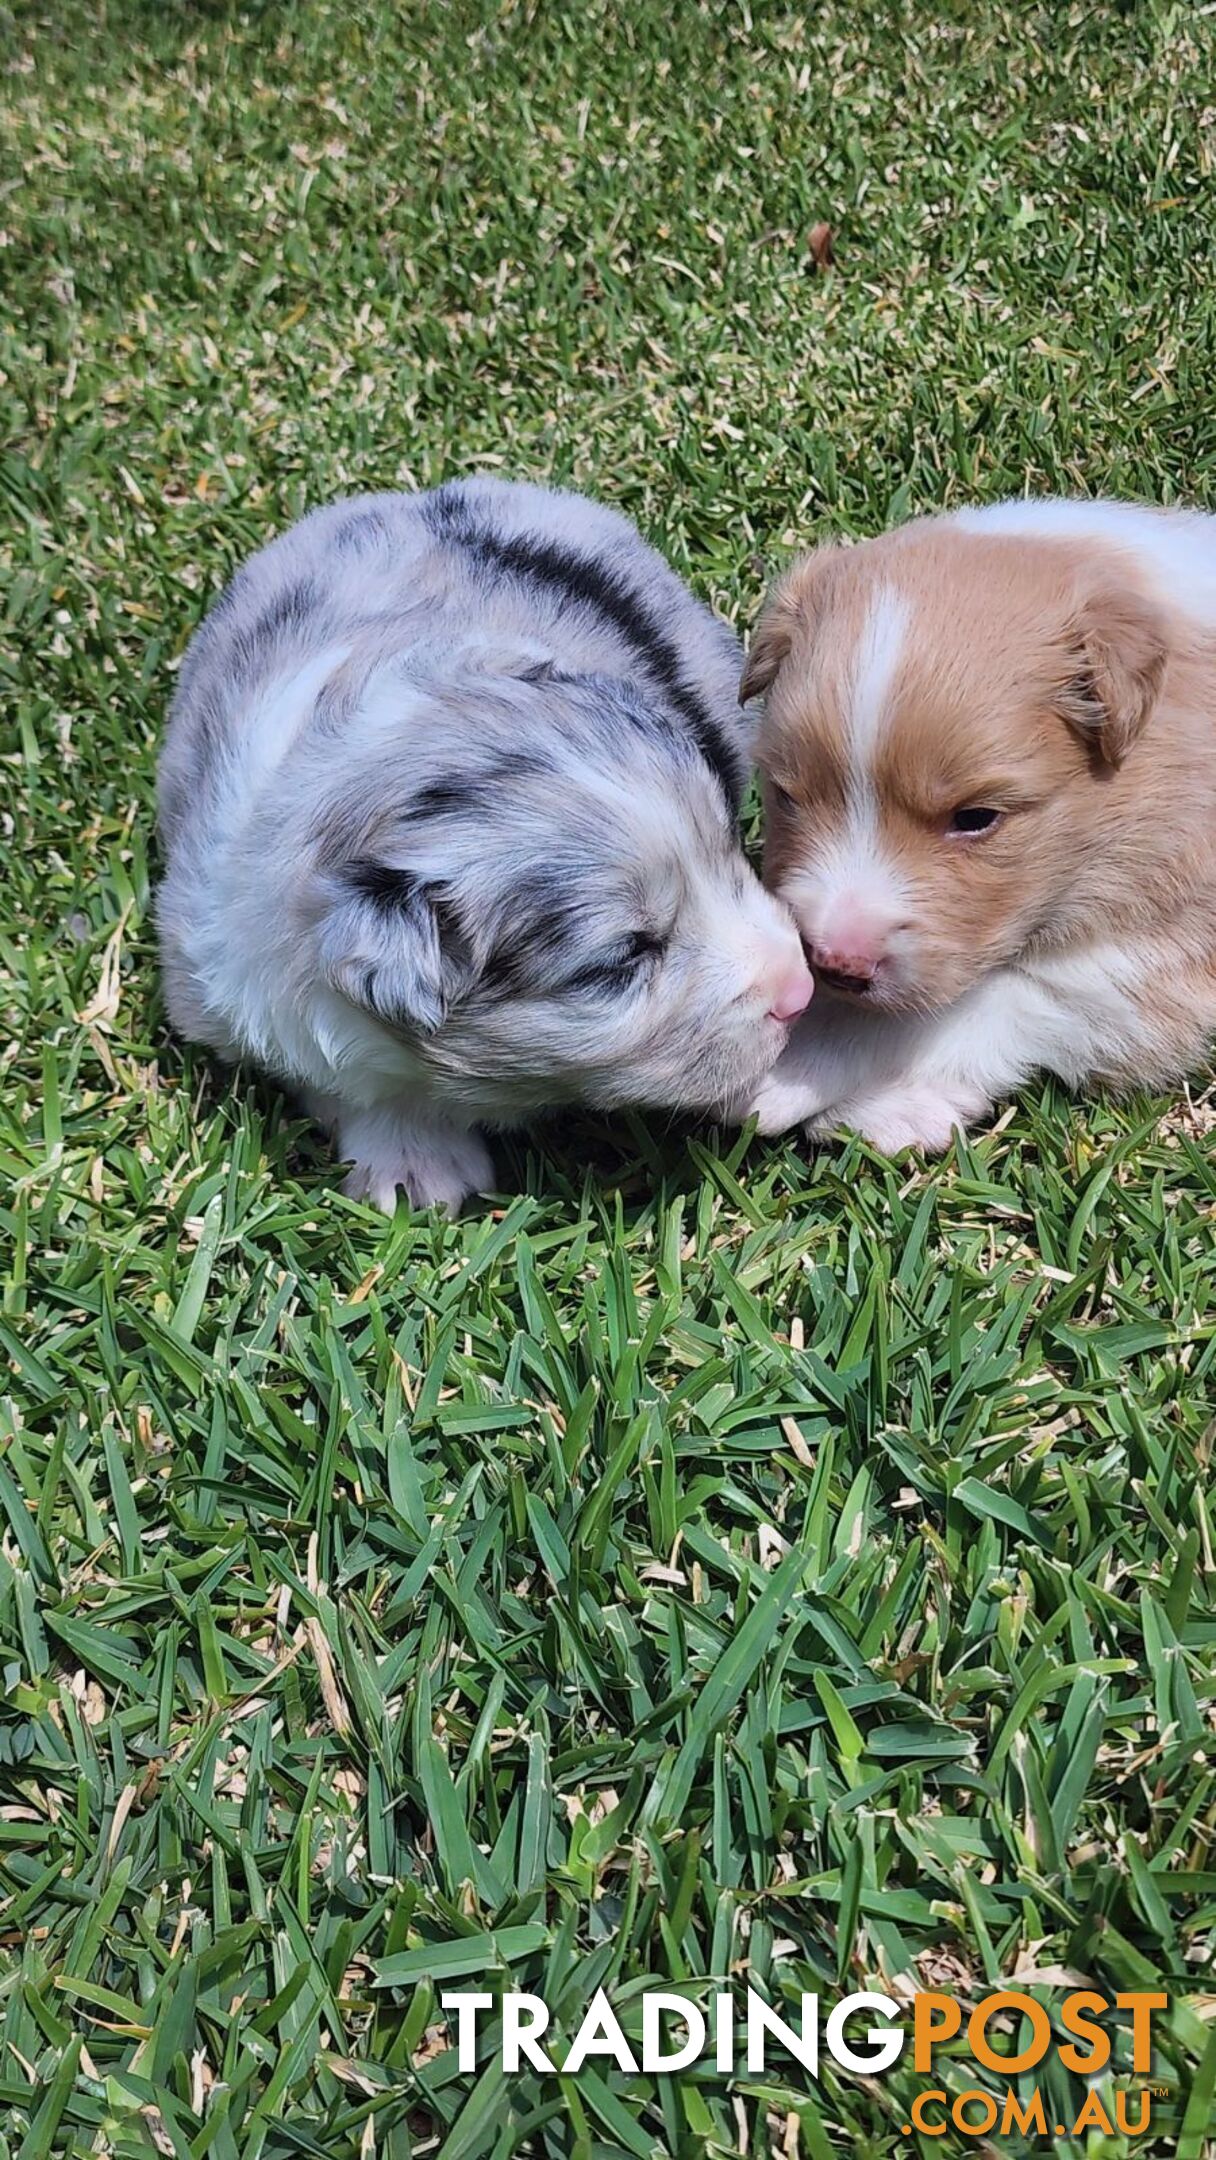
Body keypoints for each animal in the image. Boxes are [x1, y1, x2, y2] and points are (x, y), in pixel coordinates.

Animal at [738, 498, 1216, 1157]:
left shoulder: (1165, 958)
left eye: (975, 818)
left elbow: (980, 1002)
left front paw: (801, 1062)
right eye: (786, 795)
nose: (834, 963)